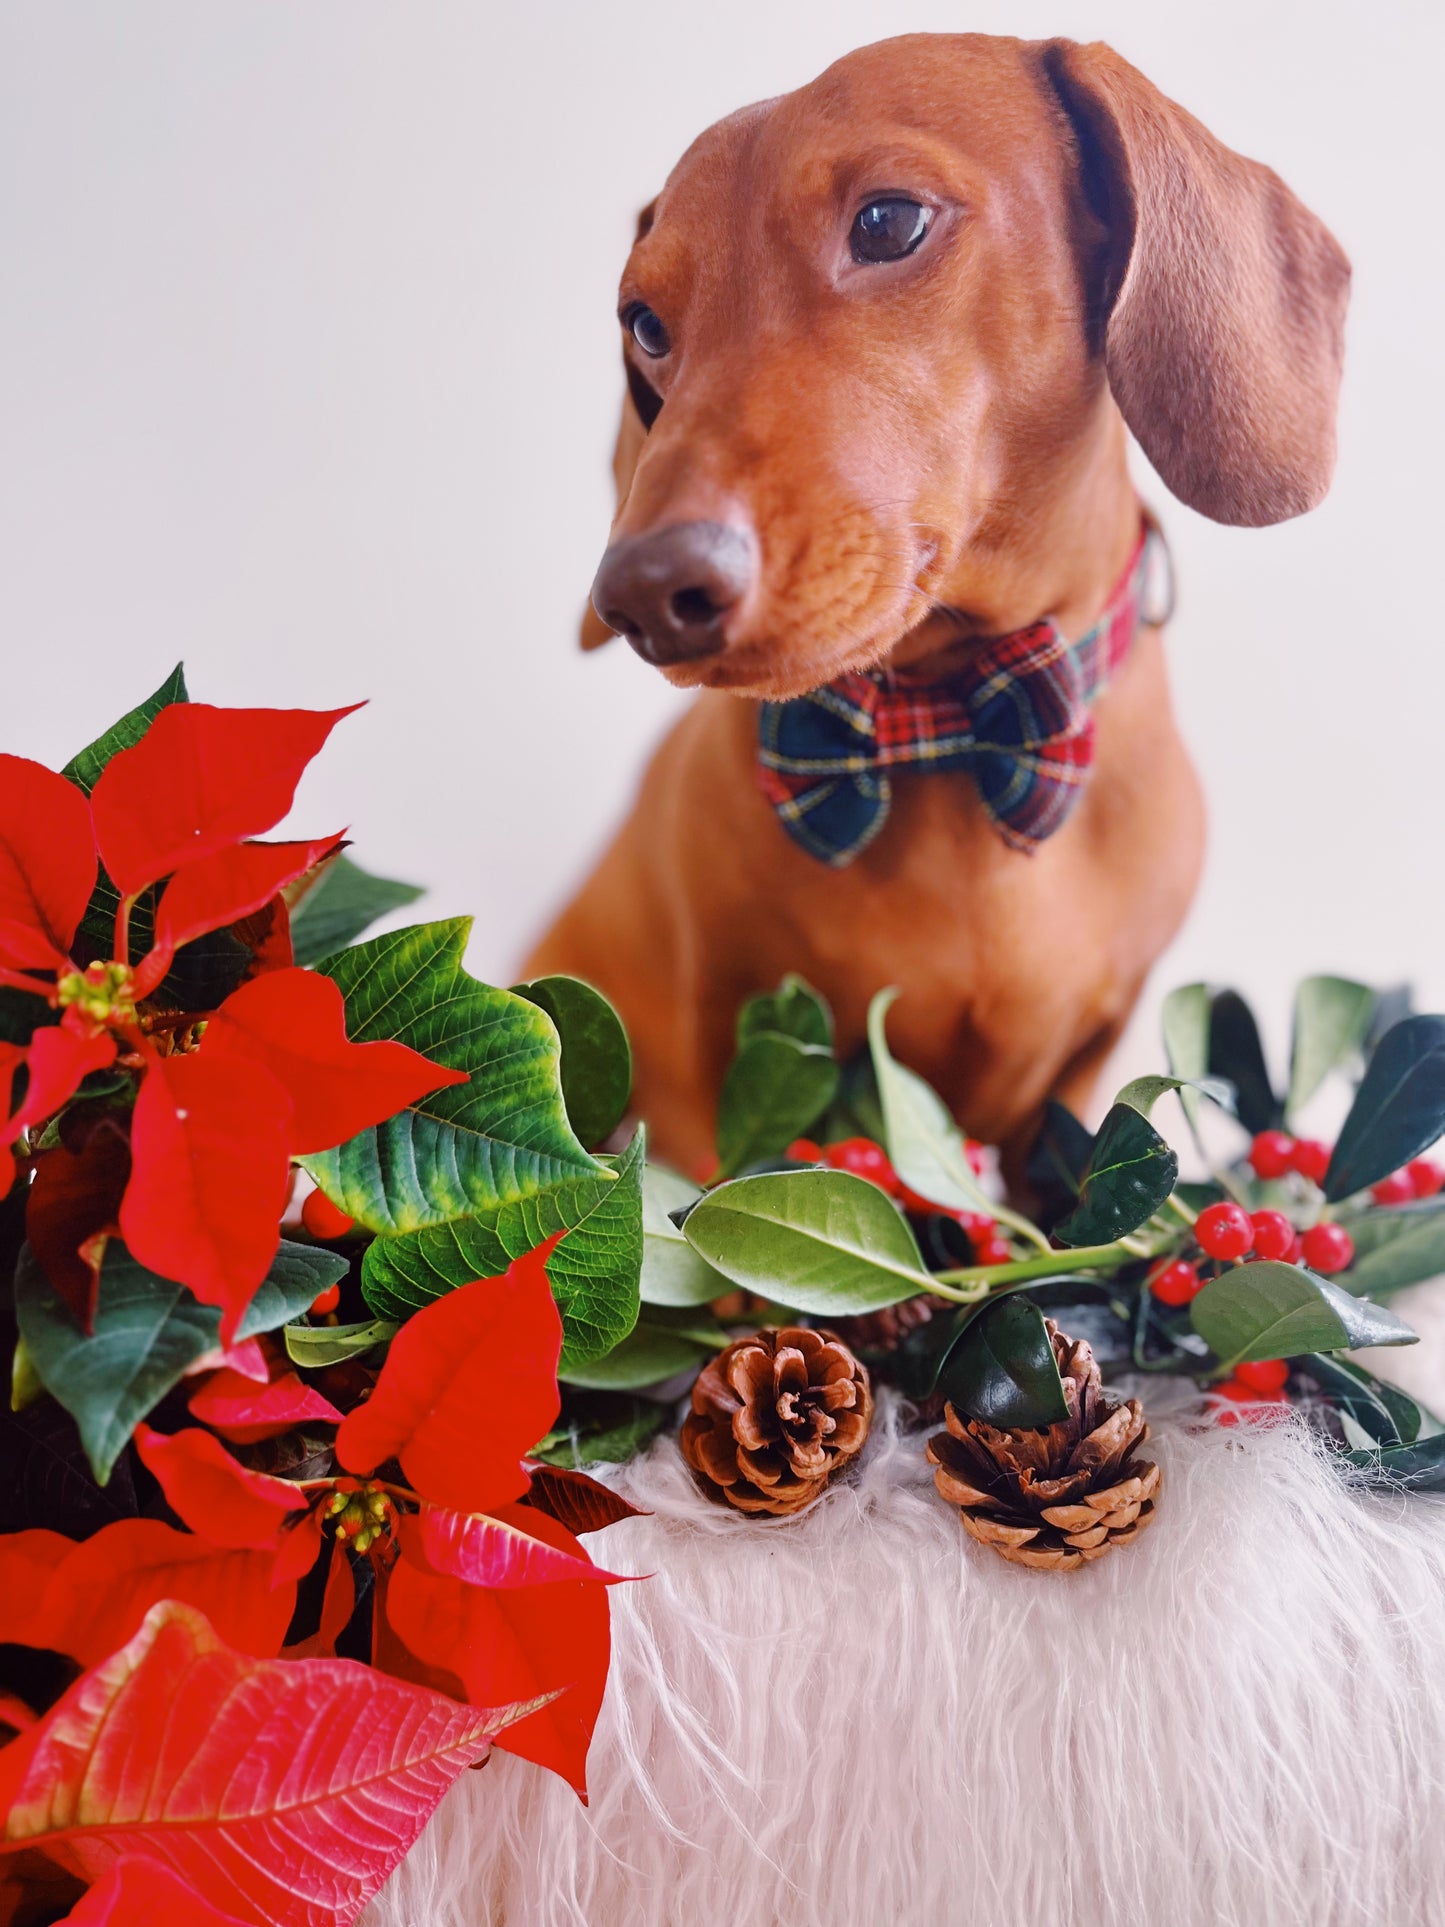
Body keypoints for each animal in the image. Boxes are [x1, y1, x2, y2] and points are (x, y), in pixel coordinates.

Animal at [527, 33, 1356, 1171]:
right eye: (645, 324)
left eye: (886, 224)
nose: (642, 592)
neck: (957, 721)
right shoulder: (715, 1068)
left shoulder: (1082, 1070)